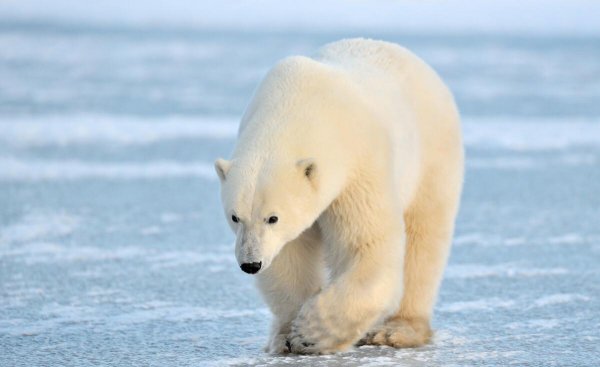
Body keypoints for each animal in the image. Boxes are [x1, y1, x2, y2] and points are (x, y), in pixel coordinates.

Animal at [216, 38, 464, 356]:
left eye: (273, 217)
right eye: (235, 217)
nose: (250, 264)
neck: (298, 104)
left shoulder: (358, 165)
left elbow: (367, 245)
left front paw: (311, 332)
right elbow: (288, 257)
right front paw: (287, 336)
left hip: (431, 156)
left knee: (423, 238)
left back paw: (396, 330)